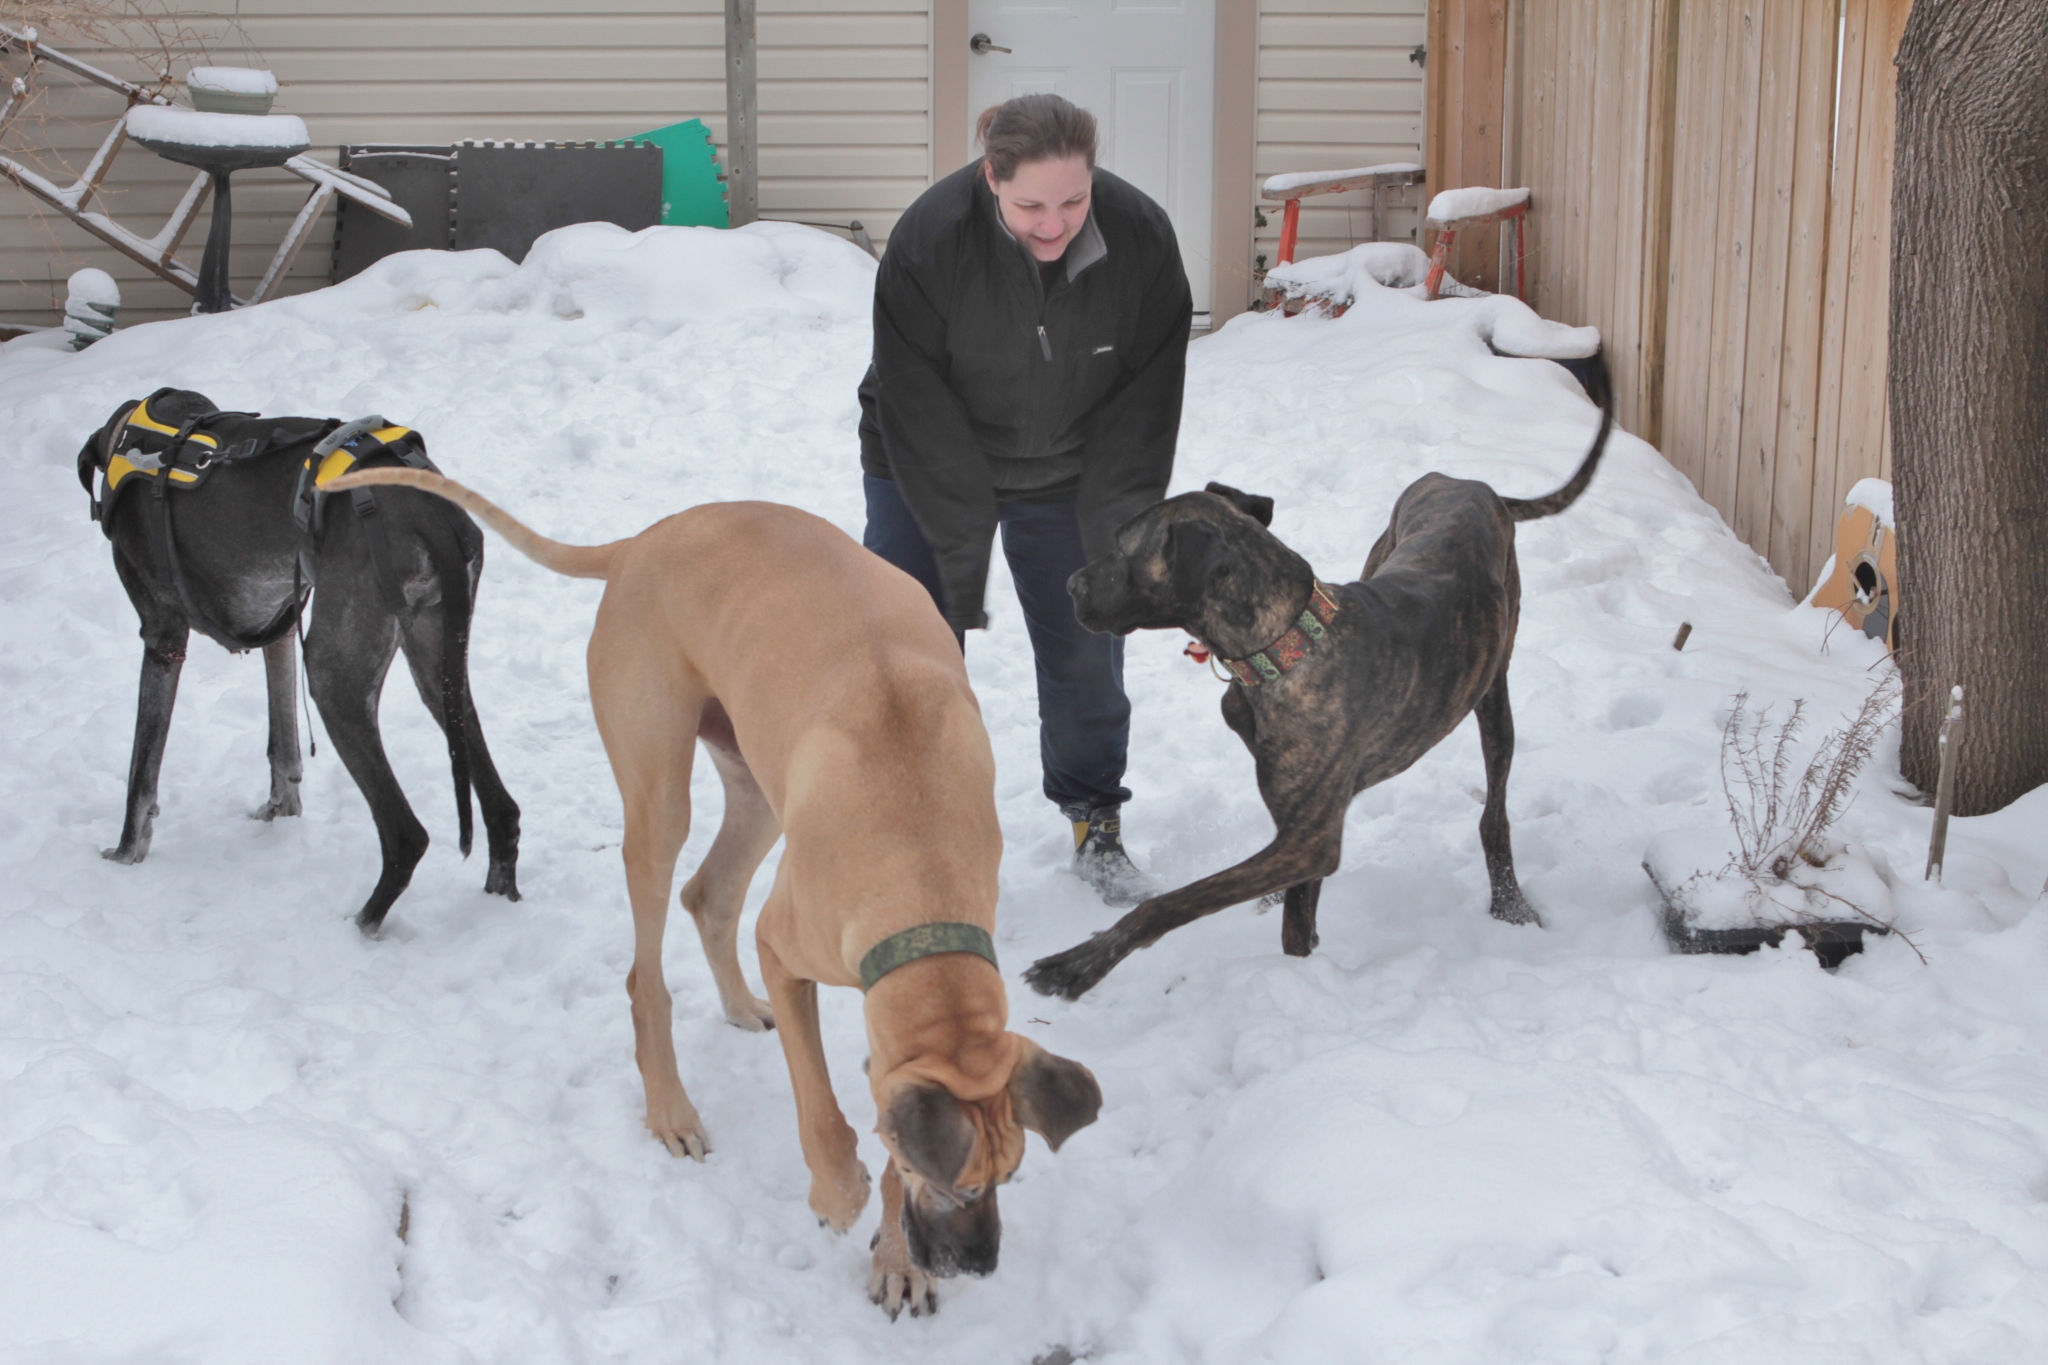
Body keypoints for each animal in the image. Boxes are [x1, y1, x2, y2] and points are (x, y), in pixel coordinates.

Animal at [1032, 360, 1605, 1002]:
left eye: (1123, 549)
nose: (1071, 586)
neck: (1281, 646)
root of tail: (1467, 481)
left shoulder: (1313, 839)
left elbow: (1176, 903)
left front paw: (1078, 964)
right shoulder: (1302, 827)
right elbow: (1295, 918)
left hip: (1494, 698)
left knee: (1495, 815)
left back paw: (1510, 904)